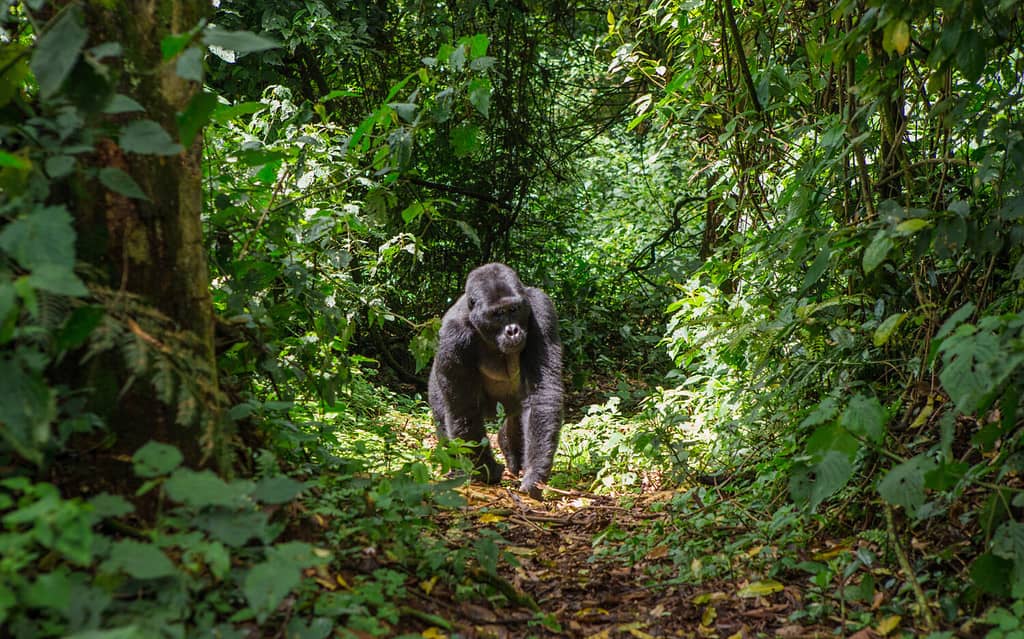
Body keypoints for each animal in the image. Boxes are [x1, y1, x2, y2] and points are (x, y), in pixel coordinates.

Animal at [428, 263, 563, 499]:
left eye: (514, 309)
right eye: (497, 314)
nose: (513, 331)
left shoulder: (541, 308)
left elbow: (542, 394)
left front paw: (535, 474)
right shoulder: (452, 336)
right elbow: (464, 410)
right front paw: (487, 471)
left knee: (518, 416)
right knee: (444, 416)